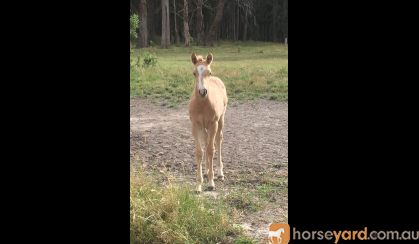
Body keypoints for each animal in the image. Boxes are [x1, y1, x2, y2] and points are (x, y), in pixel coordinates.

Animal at [190, 53, 230, 193]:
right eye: (194, 73)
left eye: (209, 72)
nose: (202, 92)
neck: (202, 105)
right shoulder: (195, 125)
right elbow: (199, 152)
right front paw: (198, 184)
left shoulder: (213, 124)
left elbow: (211, 150)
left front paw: (211, 183)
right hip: (204, 127)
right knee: (206, 141)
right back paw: (207, 171)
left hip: (221, 120)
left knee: (218, 140)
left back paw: (220, 173)